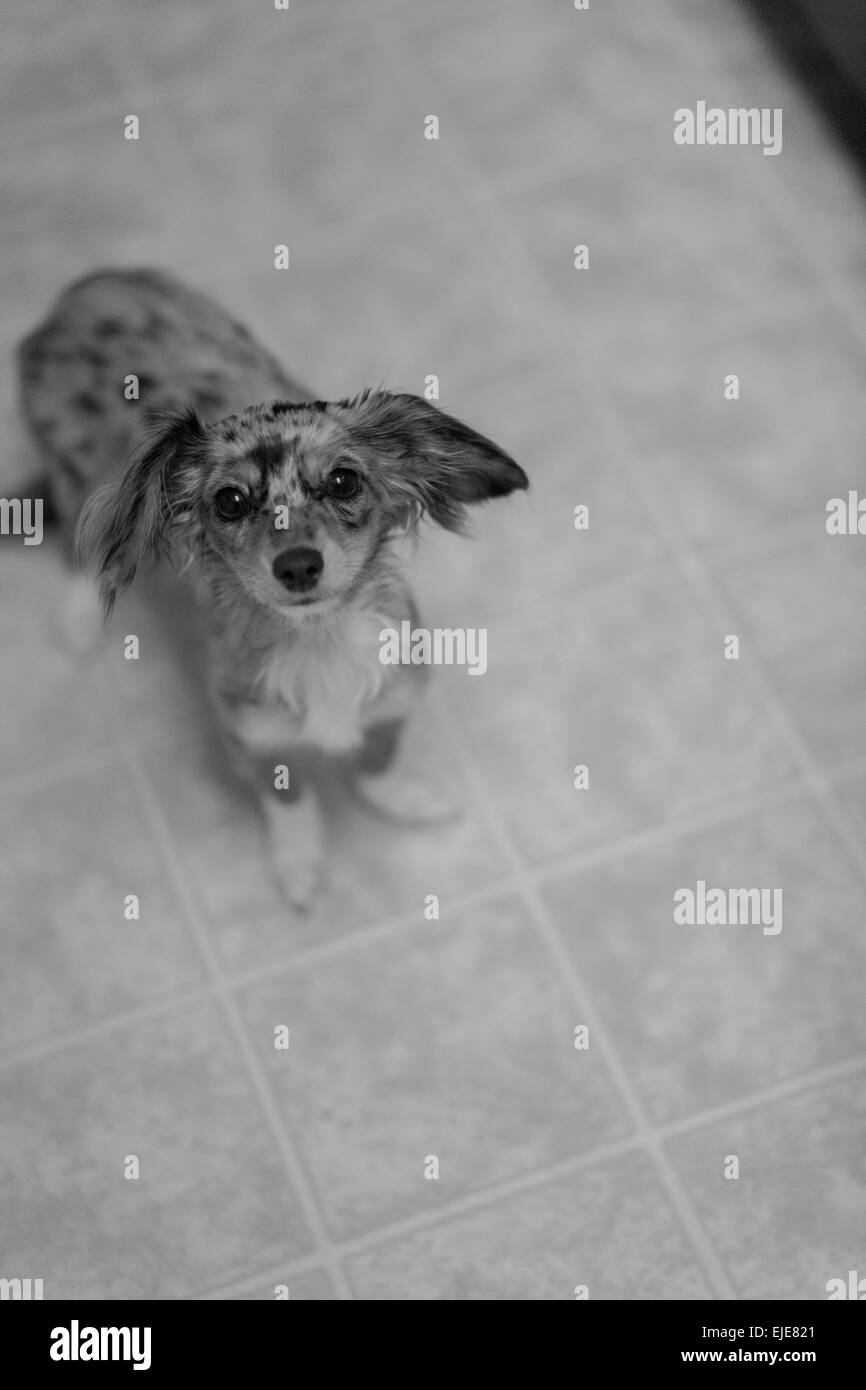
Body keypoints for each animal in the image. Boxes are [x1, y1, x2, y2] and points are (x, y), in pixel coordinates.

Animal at [18, 266, 528, 906]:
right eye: (231, 501)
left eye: (344, 481)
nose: (299, 565)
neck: (319, 638)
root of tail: (83, 291)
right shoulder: (253, 737)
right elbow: (291, 799)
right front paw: (299, 864)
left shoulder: (393, 698)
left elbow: (377, 762)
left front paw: (405, 799)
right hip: (79, 473)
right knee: (81, 539)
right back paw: (81, 618)